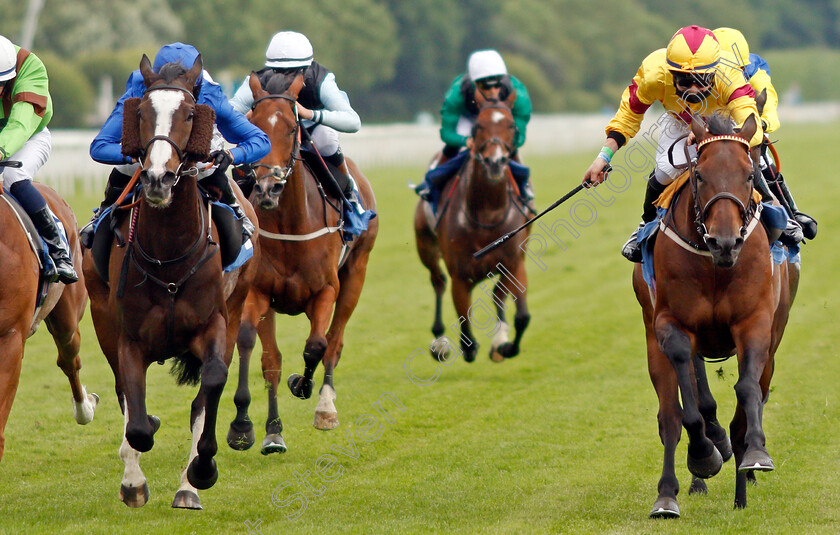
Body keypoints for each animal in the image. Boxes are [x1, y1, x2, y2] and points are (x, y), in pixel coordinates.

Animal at [83, 55, 260, 510]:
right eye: (141, 114)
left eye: (192, 114)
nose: (158, 178)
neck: (167, 260)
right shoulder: (127, 335)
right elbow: (136, 419)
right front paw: (133, 482)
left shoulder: (215, 323)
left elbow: (211, 385)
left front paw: (202, 469)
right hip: (101, 317)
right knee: (125, 397)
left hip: (237, 308)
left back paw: (188, 486)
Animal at [226, 71, 378, 452]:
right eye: (253, 125)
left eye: (293, 127)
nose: (268, 188)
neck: (291, 226)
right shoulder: (258, 293)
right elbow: (259, 352)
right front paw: (253, 428)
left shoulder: (325, 290)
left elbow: (317, 345)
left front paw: (304, 386)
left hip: (356, 273)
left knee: (335, 341)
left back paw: (326, 405)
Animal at [416, 90, 532, 364]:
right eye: (478, 126)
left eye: (511, 125)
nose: (495, 161)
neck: (488, 213)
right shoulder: (460, 272)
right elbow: (464, 324)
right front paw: (469, 346)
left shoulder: (514, 262)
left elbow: (522, 316)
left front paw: (505, 347)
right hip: (425, 246)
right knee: (438, 282)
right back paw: (440, 340)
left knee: (498, 293)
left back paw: (500, 338)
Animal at [632, 114, 796, 520]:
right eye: (701, 175)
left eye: (750, 175)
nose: (725, 242)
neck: (714, 266)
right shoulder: (669, 324)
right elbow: (687, 409)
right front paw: (704, 454)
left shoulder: (755, 322)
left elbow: (747, 391)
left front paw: (755, 454)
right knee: (671, 415)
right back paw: (670, 494)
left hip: (774, 336)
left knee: (750, 400)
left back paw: (742, 485)